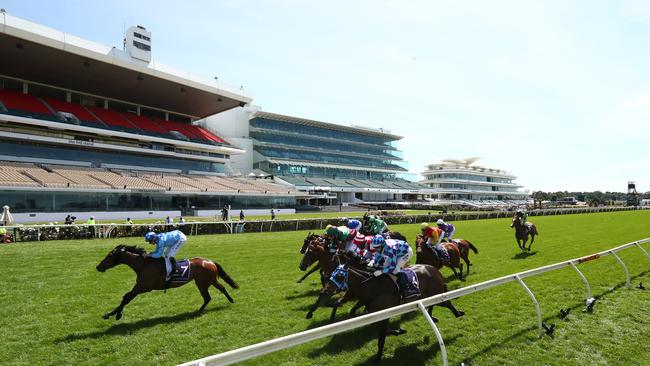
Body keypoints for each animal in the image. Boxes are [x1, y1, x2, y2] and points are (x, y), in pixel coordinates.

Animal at [96, 246, 238, 320]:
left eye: (109, 256)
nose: (98, 267)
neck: (143, 264)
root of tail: (210, 261)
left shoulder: (144, 287)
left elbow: (126, 297)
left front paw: (115, 314)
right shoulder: (141, 287)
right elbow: (126, 297)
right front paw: (111, 313)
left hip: (202, 283)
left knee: (208, 297)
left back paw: (198, 311)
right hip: (210, 280)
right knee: (221, 289)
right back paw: (230, 300)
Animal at [316, 258, 464, 362]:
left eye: (340, 276)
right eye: (330, 275)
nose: (323, 292)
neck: (372, 288)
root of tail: (434, 269)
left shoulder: (385, 314)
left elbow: (381, 337)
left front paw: (378, 357)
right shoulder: (377, 315)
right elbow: (383, 332)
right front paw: (399, 330)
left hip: (436, 293)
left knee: (447, 302)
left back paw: (457, 313)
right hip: (427, 296)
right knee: (436, 304)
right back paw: (433, 316)